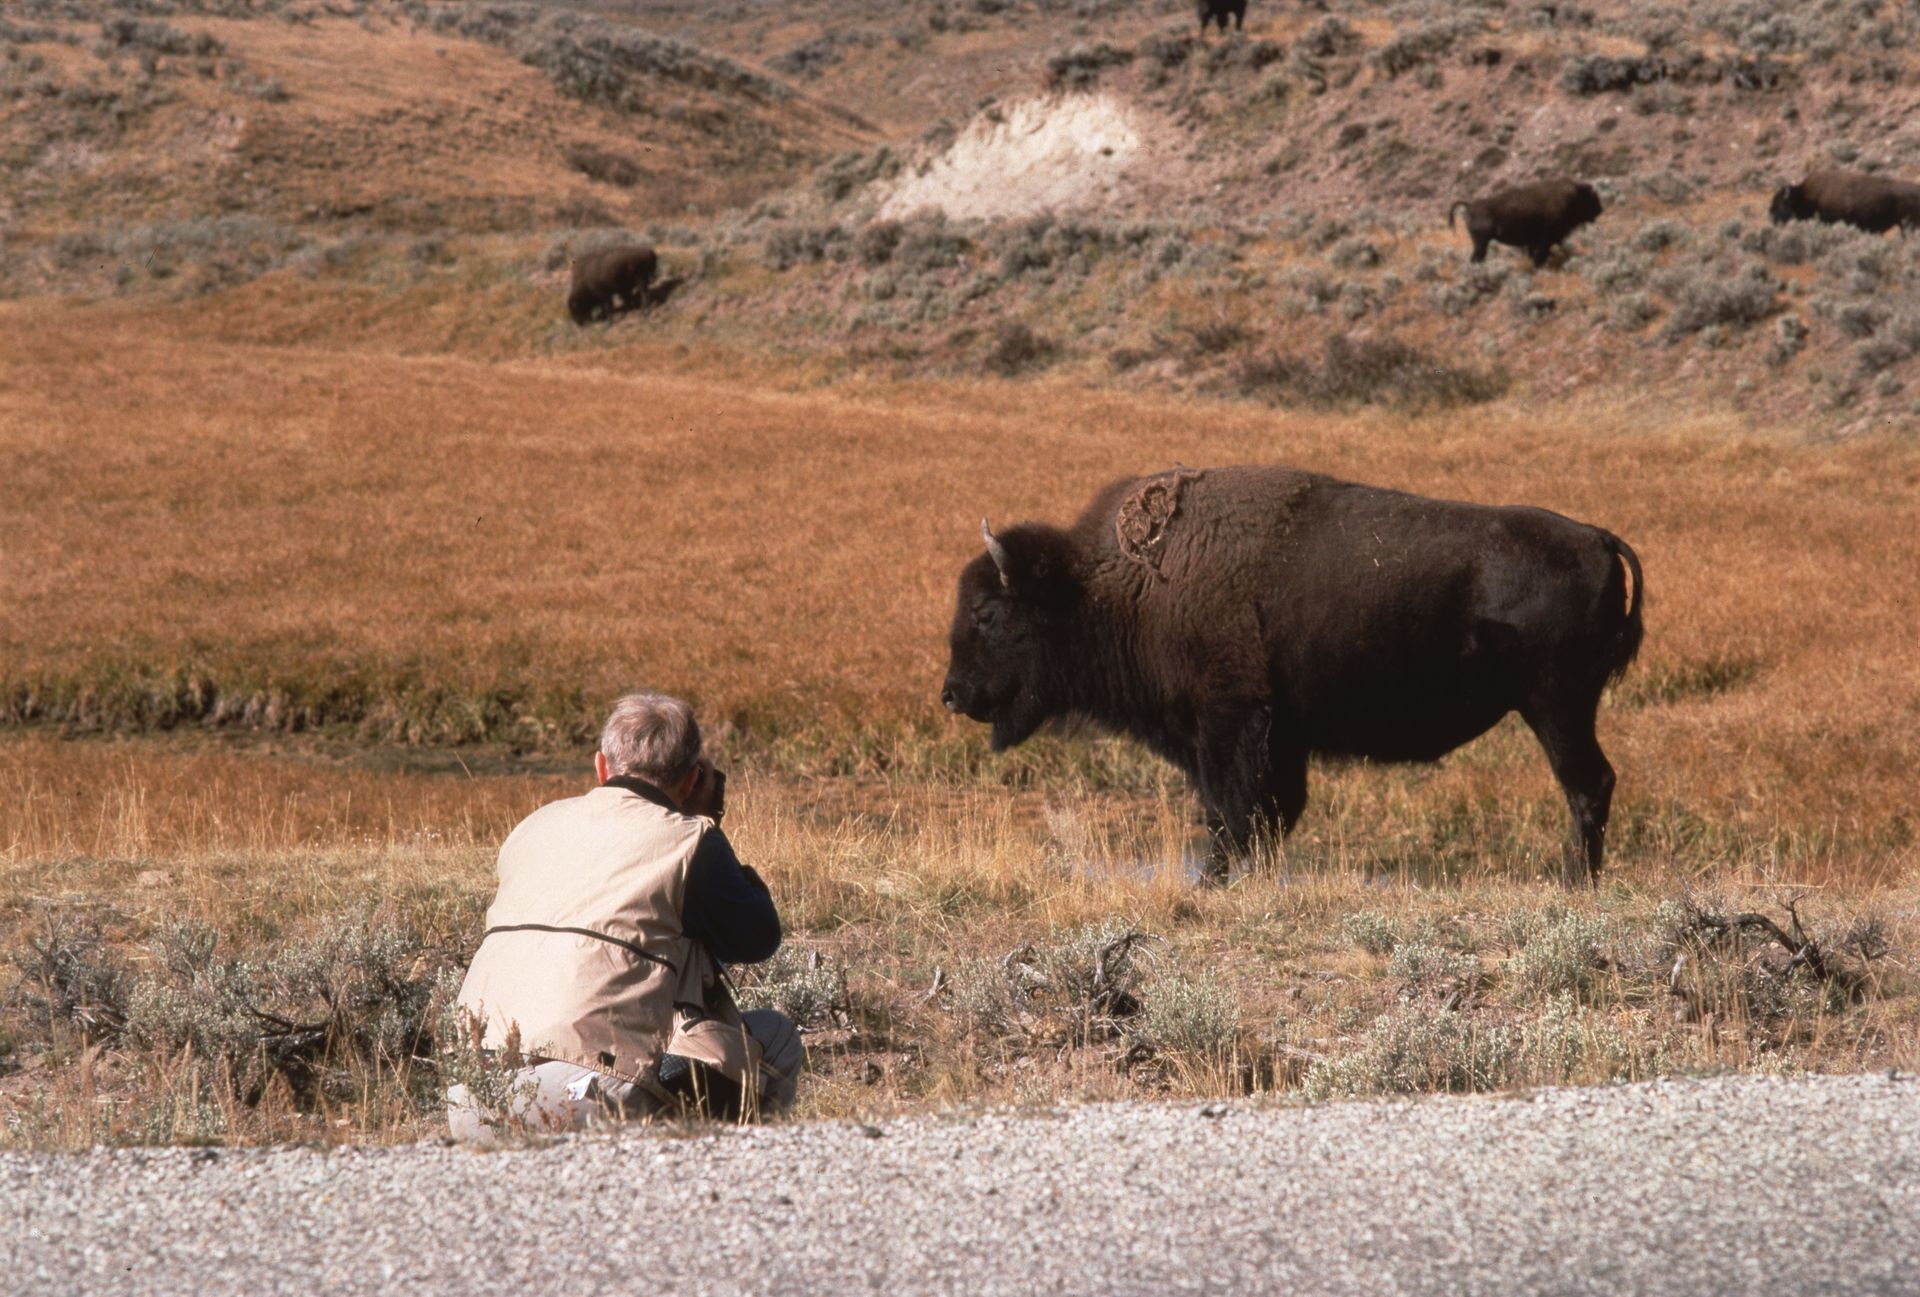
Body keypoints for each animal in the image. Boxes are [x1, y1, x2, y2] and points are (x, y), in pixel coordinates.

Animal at [942, 466, 1644, 887]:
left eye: (987, 612)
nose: (953, 694)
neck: (1118, 585)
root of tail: (1596, 538)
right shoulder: (1277, 737)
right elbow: (1269, 811)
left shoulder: (1228, 724)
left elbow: (1232, 810)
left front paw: (1213, 880)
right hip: (1561, 706)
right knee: (1593, 783)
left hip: (1555, 705)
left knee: (1588, 784)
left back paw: (1574, 882)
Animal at [1449, 179, 1603, 267]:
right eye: (1591, 198)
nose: (1600, 210)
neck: (1571, 196)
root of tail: (1471, 206)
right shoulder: (1544, 239)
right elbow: (1539, 254)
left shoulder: (1536, 241)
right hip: (1481, 243)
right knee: (1476, 258)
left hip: (1480, 243)